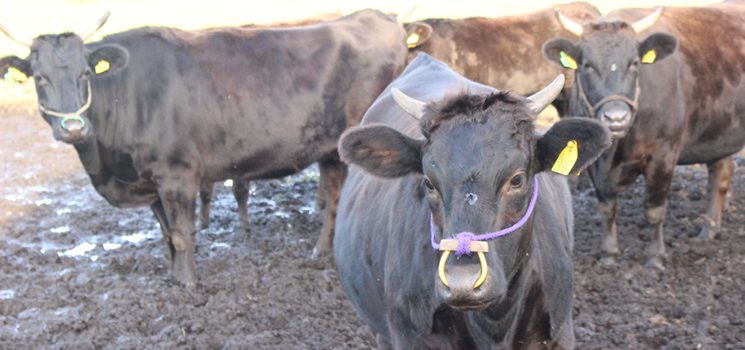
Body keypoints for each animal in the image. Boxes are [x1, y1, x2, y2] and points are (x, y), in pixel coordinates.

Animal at [0, 9, 406, 286]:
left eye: (85, 74)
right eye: (39, 78)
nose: (72, 127)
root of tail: (377, 15)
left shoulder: (176, 173)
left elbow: (182, 234)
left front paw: (188, 284)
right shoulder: (151, 183)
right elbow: (167, 235)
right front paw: (175, 277)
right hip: (330, 149)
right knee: (335, 197)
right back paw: (322, 251)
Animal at [540, 3, 744, 268]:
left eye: (634, 63)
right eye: (588, 66)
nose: (616, 117)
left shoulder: (663, 154)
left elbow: (654, 210)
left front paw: (655, 258)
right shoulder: (591, 160)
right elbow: (607, 207)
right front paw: (609, 254)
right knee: (721, 171)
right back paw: (709, 230)